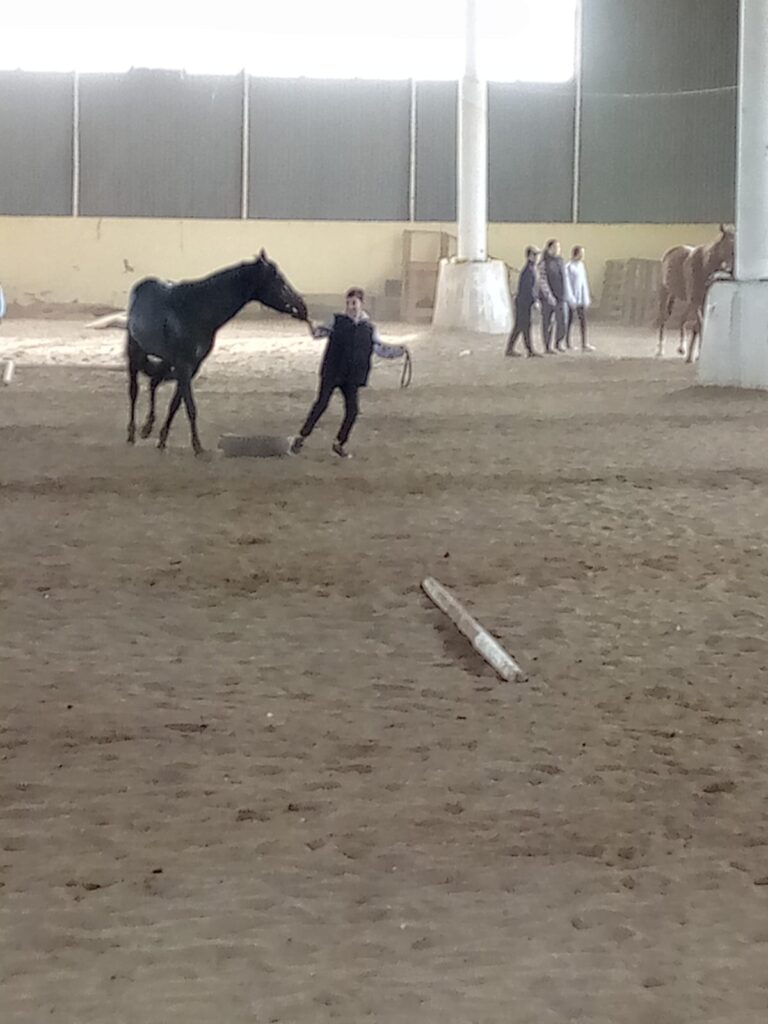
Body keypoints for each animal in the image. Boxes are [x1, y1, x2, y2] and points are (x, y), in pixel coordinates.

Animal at [126, 250, 307, 454]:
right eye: (279, 281)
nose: (302, 307)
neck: (195, 310)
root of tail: (142, 285)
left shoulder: (192, 366)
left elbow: (176, 403)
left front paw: (163, 439)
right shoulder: (184, 365)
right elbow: (190, 406)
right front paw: (197, 446)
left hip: (166, 359)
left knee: (154, 382)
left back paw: (147, 428)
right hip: (135, 352)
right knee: (134, 391)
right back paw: (132, 434)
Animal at [656, 224, 734, 363]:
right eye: (729, 244)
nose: (732, 269)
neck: (704, 265)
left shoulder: (702, 302)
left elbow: (700, 325)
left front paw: (696, 355)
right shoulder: (696, 302)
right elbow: (700, 325)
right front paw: (694, 356)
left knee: (682, 319)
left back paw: (682, 348)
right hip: (665, 293)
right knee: (663, 318)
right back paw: (661, 350)